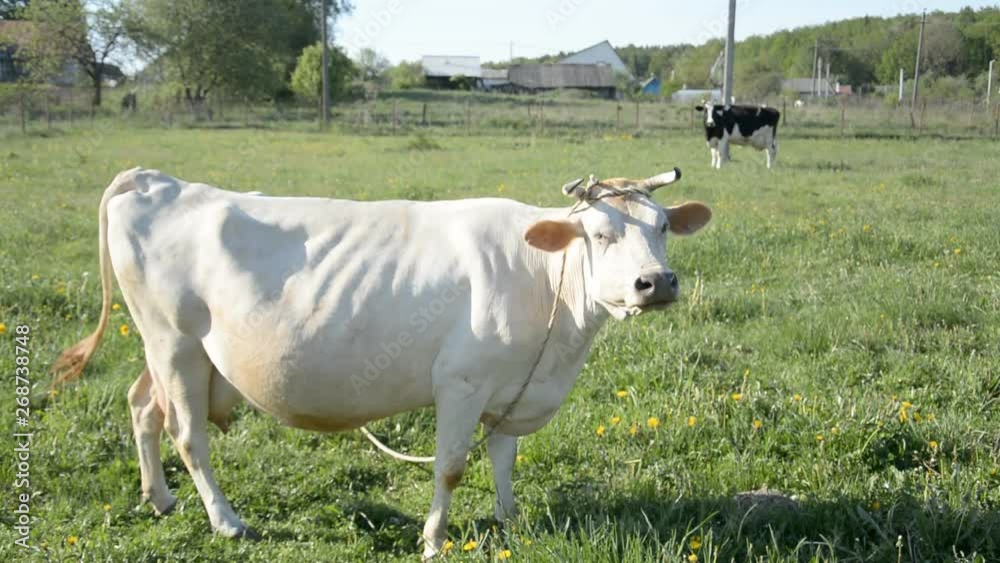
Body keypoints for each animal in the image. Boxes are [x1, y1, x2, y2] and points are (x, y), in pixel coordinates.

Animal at [53, 167, 711, 559]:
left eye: (661, 226)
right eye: (599, 233)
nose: (656, 282)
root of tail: (156, 180)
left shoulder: (511, 386)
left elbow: (503, 459)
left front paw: (509, 521)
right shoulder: (462, 382)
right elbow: (450, 469)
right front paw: (434, 539)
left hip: (163, 349)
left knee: (142, 407)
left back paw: (159, 499)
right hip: (176, 343)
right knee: (187, 434)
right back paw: (226, 522)